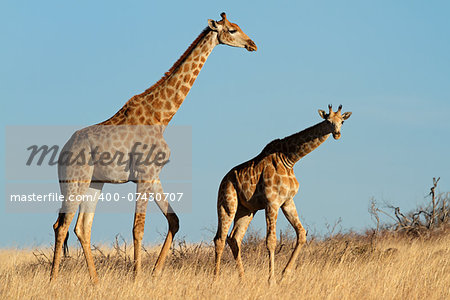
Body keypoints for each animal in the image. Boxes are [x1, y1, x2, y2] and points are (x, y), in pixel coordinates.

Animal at [49, 12, 256, 284]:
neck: (162, 116)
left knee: (81, 227)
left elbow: (174, 220)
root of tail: (63, 152)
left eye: (239, 26)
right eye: (232, 30)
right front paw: (137, 276)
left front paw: (155, 271)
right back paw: (53, 279)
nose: (252, 44)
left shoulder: (154, 176)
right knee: (63, 226)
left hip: (95, 183)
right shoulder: (144, 175)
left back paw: (95, 281)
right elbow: (138, 227)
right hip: (76, 181)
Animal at [214, 105, 352, 284]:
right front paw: (271, 280)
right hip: (227, 203)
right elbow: (271, 241)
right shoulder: (271, 202)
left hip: (247, 210)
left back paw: (243, 279)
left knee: (234, 238)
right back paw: (215, 279)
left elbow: (301, 234)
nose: (337, 134)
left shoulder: (287, 201)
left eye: (342, 121)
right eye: (328, 121)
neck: (290, 159)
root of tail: (223, 180)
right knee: (220, 238)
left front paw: (284, 274)